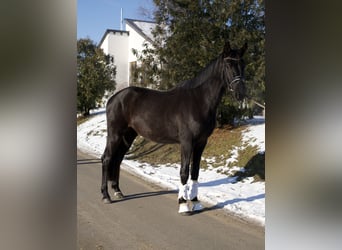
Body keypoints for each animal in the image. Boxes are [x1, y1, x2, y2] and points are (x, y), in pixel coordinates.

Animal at [100, 40, 247, 213]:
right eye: (228, 64)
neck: (199, 101)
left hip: (128, 135)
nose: (241, 93)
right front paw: (183, 204)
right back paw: (106, 196)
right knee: (107, 159)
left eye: (243, 64)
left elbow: (195, 172)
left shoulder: (201, 142)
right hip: (115, 134)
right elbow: (184, 171)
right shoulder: (186, 142)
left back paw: (117, 191)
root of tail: (113, 98)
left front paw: (195, 201)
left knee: (117, 159)